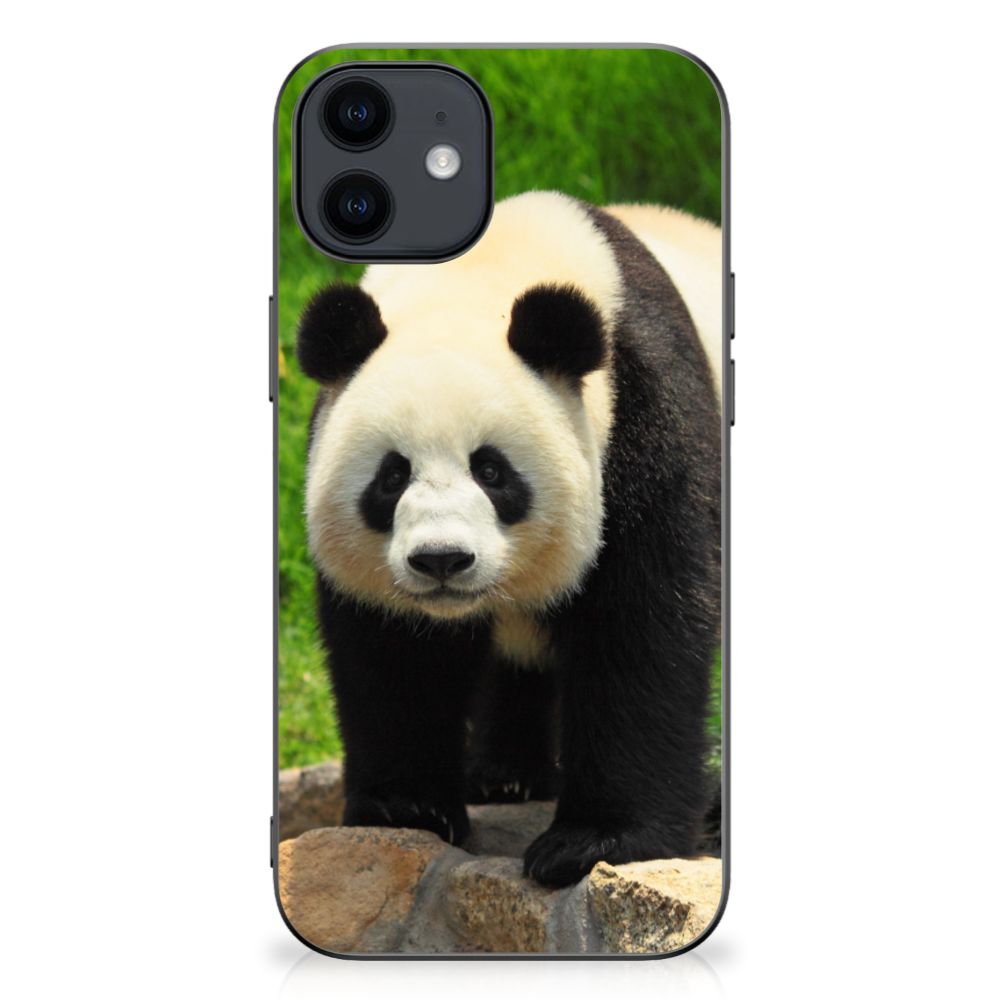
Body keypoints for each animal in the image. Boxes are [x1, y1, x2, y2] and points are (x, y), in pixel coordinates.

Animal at [296, 191, 722, 887]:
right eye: (392, 476)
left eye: (492, 471)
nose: (441, 560)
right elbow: (395, 651)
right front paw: (406, 807)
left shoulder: (645, 415)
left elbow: (643, 626)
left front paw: (594, 841)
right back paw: (506, 776)